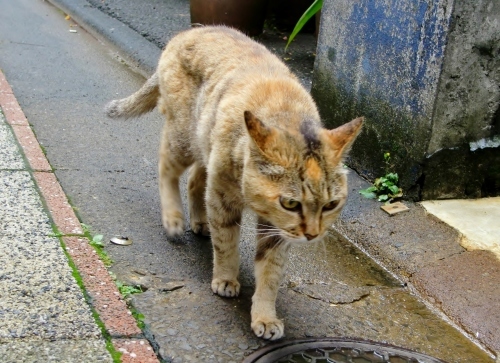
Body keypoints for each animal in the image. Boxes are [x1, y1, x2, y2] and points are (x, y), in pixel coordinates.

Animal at [106, 26, 364, 342]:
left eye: (331, 205)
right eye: (291, 203)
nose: (312, 235)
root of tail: (186, 33)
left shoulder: (276, 229)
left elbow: (270, 272)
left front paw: (265, 316)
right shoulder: (223, 198)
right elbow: (226, 243)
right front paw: (226, 279)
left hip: (205, 147)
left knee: (195, 180)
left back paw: (199, 221)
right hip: (183, 139)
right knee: (166, 167)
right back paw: (174, 218)